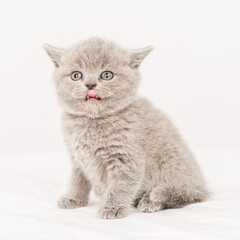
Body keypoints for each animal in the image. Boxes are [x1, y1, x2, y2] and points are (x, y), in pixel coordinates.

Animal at [43, 37, 208, 219]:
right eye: (76, 75)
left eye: (107, 75)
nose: (90, 84)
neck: (91, 121)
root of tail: (202, 186)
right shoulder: (77, 157)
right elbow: (77, 180)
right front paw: (73, 198)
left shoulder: (127, 158)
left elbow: (120, 186)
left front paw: (112, 208)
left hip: (176, 172)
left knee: (186, 195)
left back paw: (151, 201)